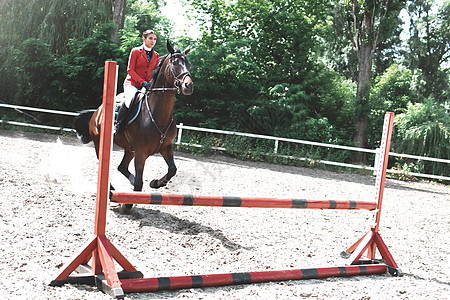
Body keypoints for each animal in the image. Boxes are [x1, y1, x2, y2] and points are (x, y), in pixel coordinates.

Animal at [74, 40, 193, 213]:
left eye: (188, 64)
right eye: (175, 63)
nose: (188, 86)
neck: (157, 114)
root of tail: (97, 111)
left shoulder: (166, 147)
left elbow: (172, 169)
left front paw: (156, 183)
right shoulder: (141, 152)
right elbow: (139, 182)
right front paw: (128, 204)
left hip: (130, 149)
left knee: (122, 167)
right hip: (101, 144)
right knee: (106, 169)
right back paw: (111, 193)